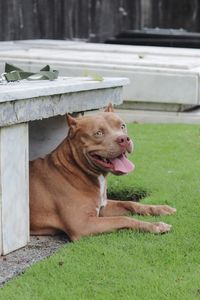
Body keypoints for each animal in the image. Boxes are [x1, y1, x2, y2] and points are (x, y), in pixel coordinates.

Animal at [29, 103, 175, 241]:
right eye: (98, 133)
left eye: (122, 126)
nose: (124, 139)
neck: (76, 169)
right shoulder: (82, 224)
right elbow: (122, 219)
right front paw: (154, 225)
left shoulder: (103, 207)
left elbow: (129, 203)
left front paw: (160, 208)